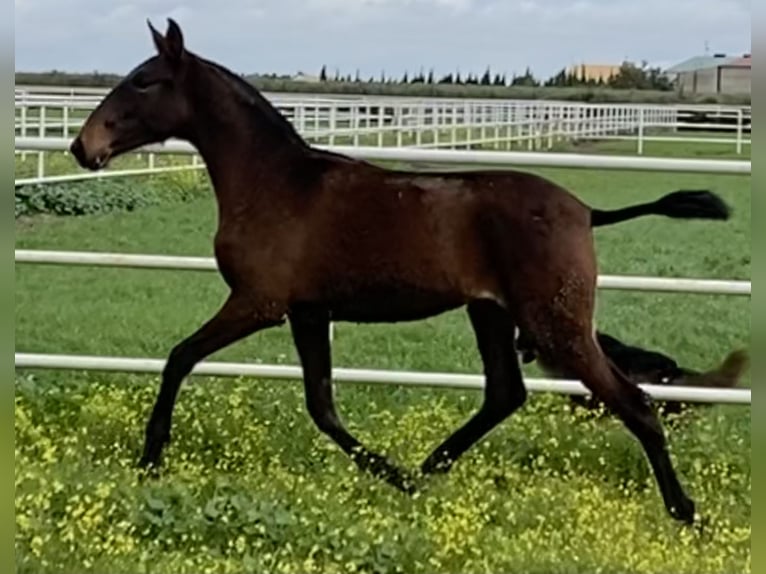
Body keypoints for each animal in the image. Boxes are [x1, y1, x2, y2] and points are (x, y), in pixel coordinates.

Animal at [67, 19, 732, 528]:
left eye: (144, 80)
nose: (81, 147)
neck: (275, 183)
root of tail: (587, 212)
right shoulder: (308, 311)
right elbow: (322, 406)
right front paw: (391, 475)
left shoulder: (259, 302)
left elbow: (180, 357)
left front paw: (151, 456)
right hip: (491, 314)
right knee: (505, 393)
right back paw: (426, 469)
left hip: (556, 325)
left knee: (634, 404)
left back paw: (686, 513)